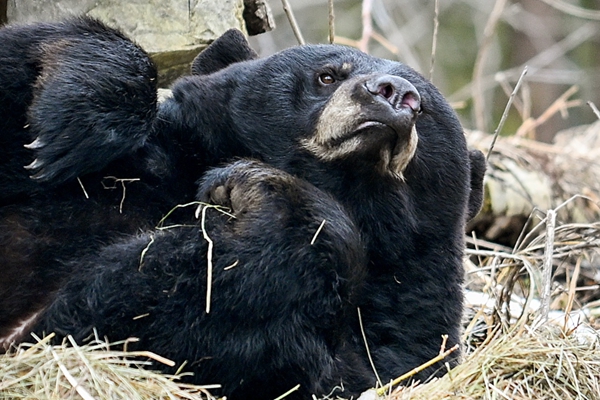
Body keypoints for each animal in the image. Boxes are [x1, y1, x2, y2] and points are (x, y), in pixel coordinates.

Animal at [0, 17, 486, 398]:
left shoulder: (404, 327)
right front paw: (69, 118)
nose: (394, 92)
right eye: (327, 75)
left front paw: (249, 186)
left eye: (425, 109)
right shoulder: (152, 158)